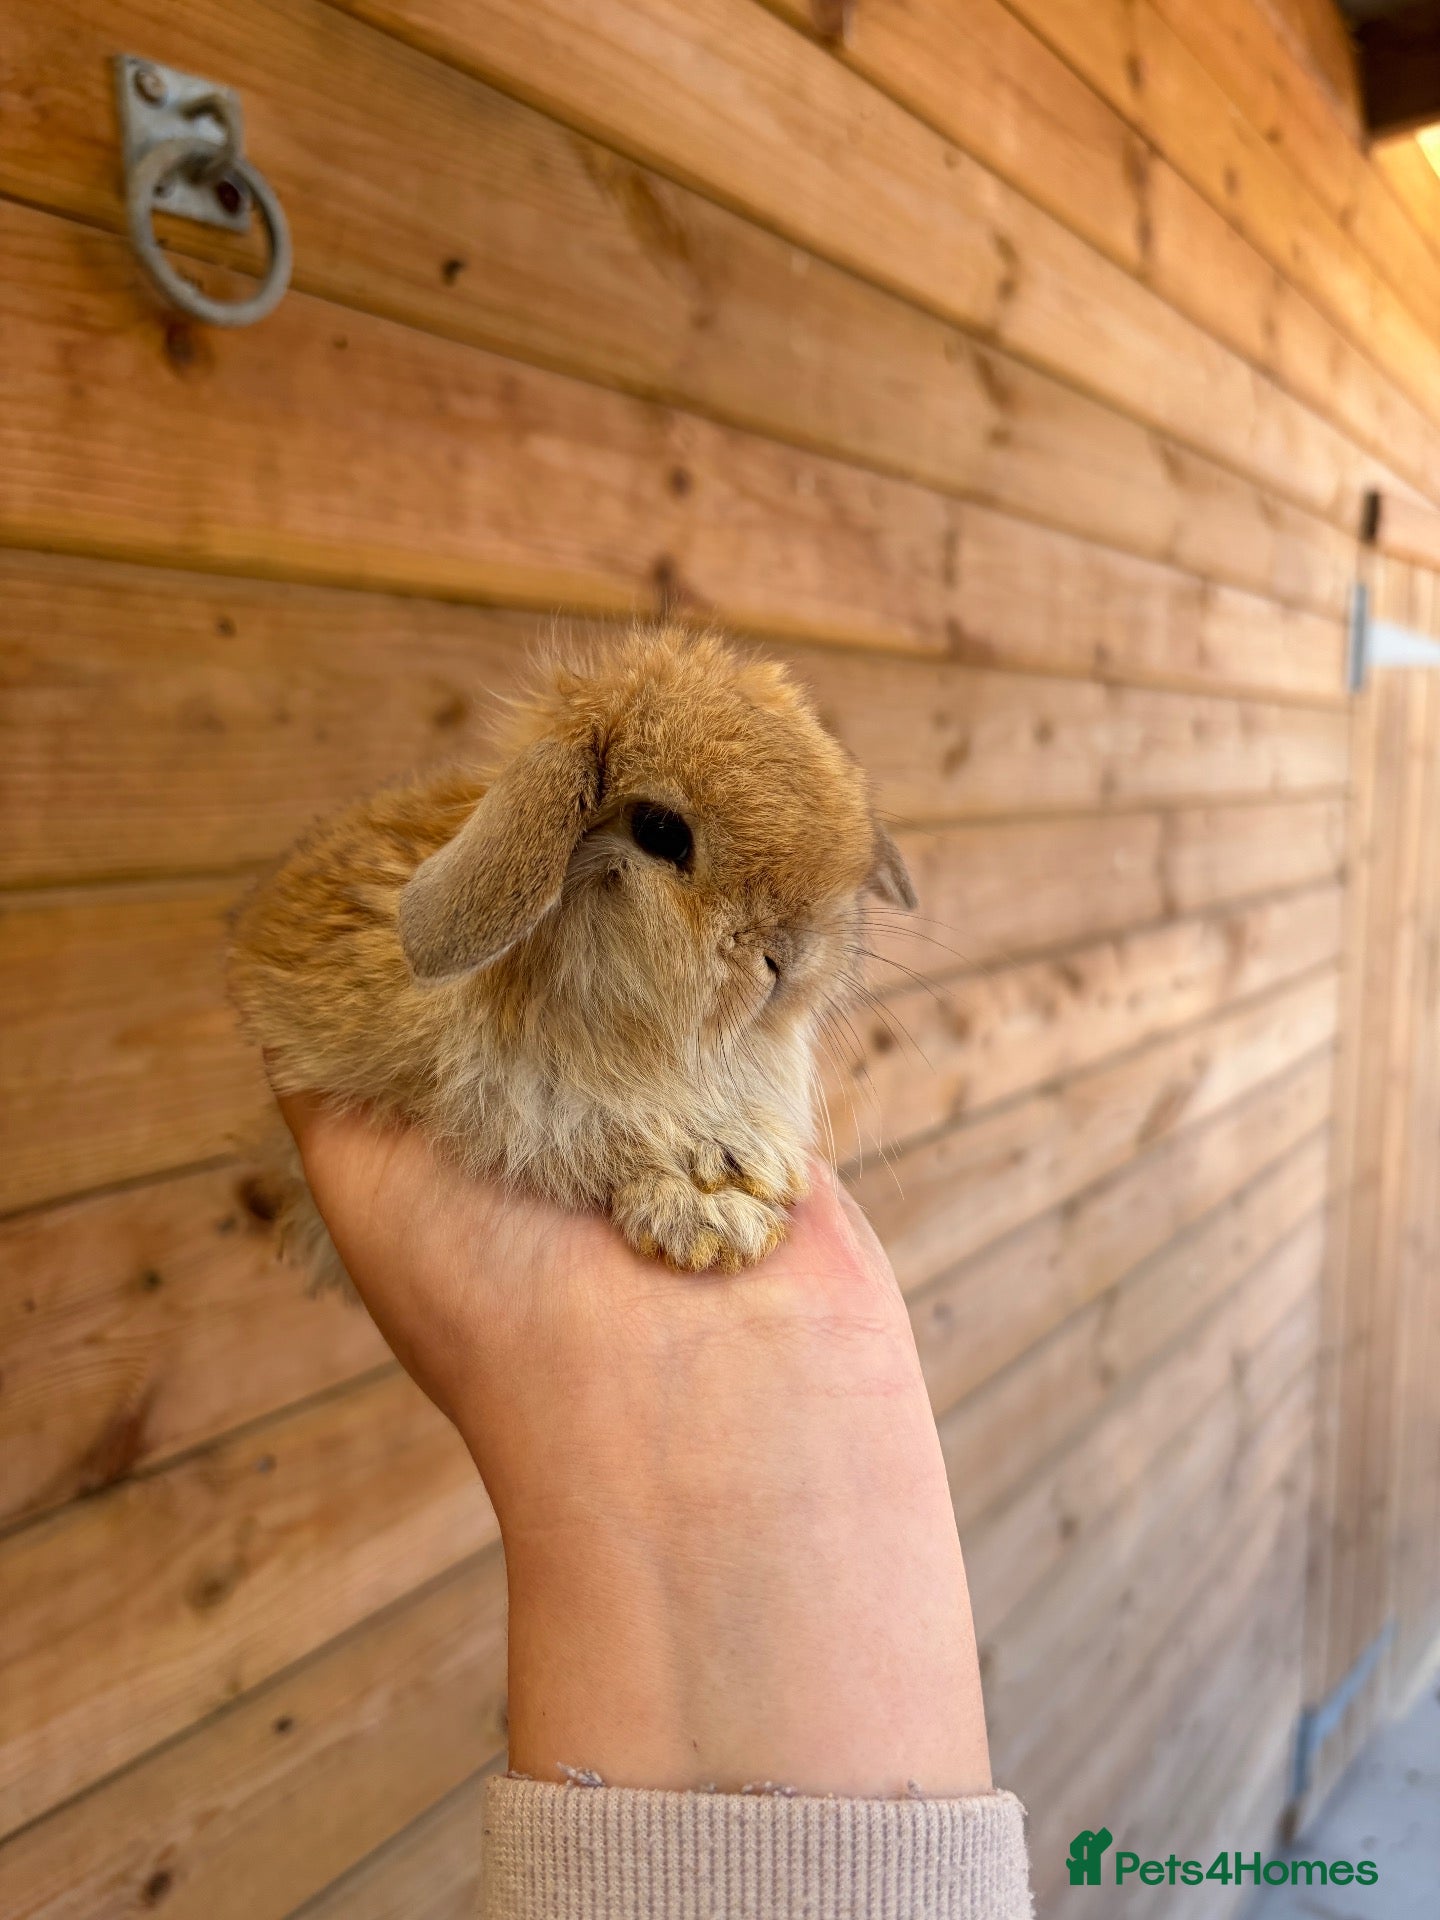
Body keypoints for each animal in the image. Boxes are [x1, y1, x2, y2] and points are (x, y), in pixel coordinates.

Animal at [226, 624, 915, 1285]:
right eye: (661, 831)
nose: (790, 957)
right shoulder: (508, 1100)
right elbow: (591, 1141)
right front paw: (718, 1213)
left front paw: (755, 1163)